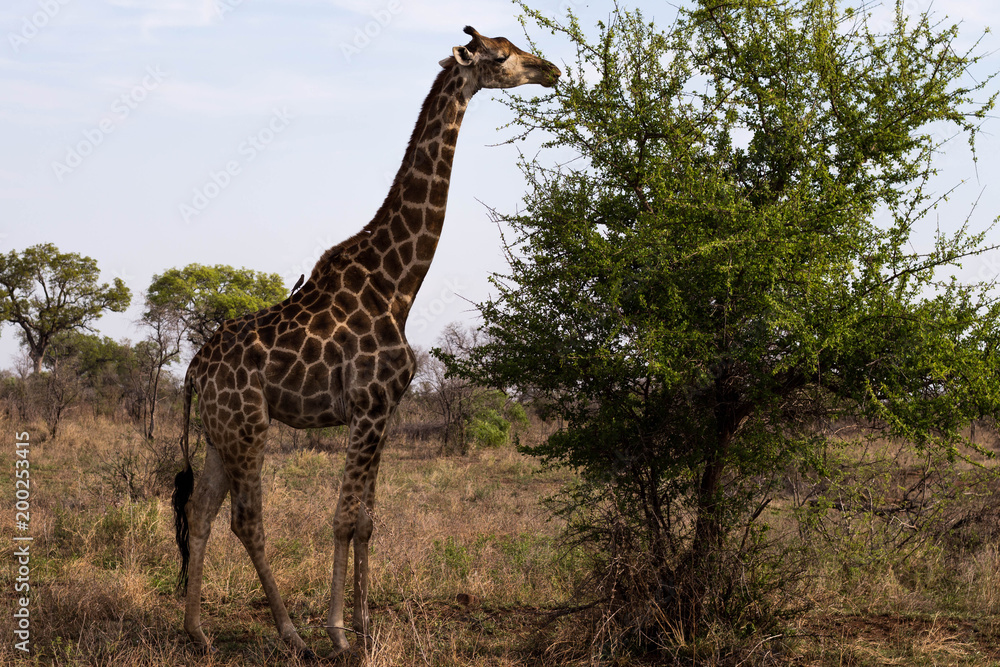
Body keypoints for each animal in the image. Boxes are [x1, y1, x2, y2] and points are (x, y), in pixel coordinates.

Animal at [174, 26, 564, 656]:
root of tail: (193, 371)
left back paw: (198, 632)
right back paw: (291, 634)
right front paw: (337, 633)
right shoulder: (367, 404)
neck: (398, 284)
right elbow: (342, 518)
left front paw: (364, 625)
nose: (551, 69)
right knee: (246, 520)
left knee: (203, 511)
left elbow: (367, 520)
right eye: (502, 55)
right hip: (249, 425)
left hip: (217, 432)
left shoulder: (386, 409)